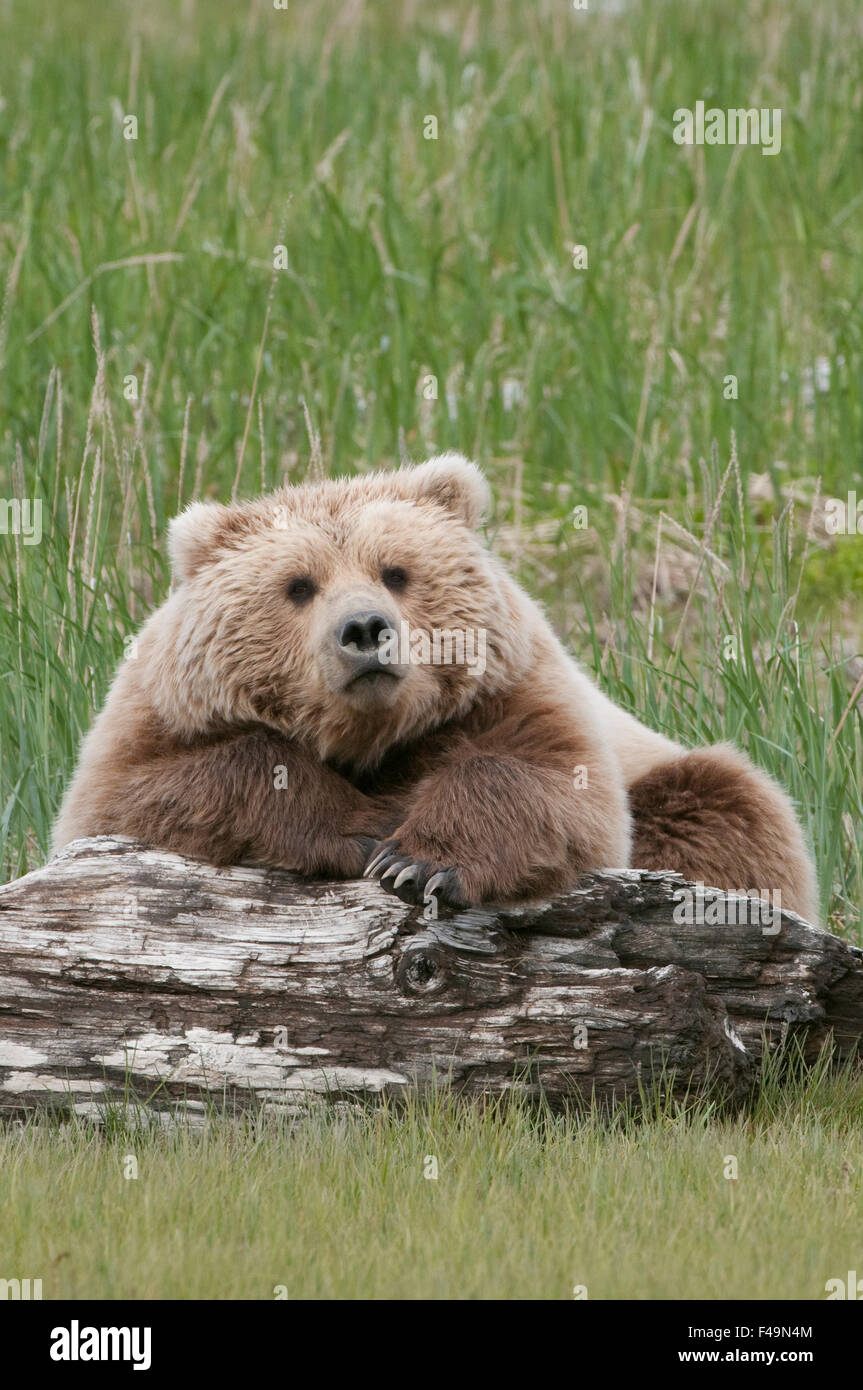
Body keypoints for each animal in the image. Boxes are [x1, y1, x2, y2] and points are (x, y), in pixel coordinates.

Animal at [52, 455, 817, 922]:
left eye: (395, 571)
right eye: (299, 585)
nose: (364, 628)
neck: (370, 737)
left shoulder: (512, 689)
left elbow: (549, 783)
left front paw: (417, 860)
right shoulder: (158, 718)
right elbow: (141, 794)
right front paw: (360, 830)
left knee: (726, 808)